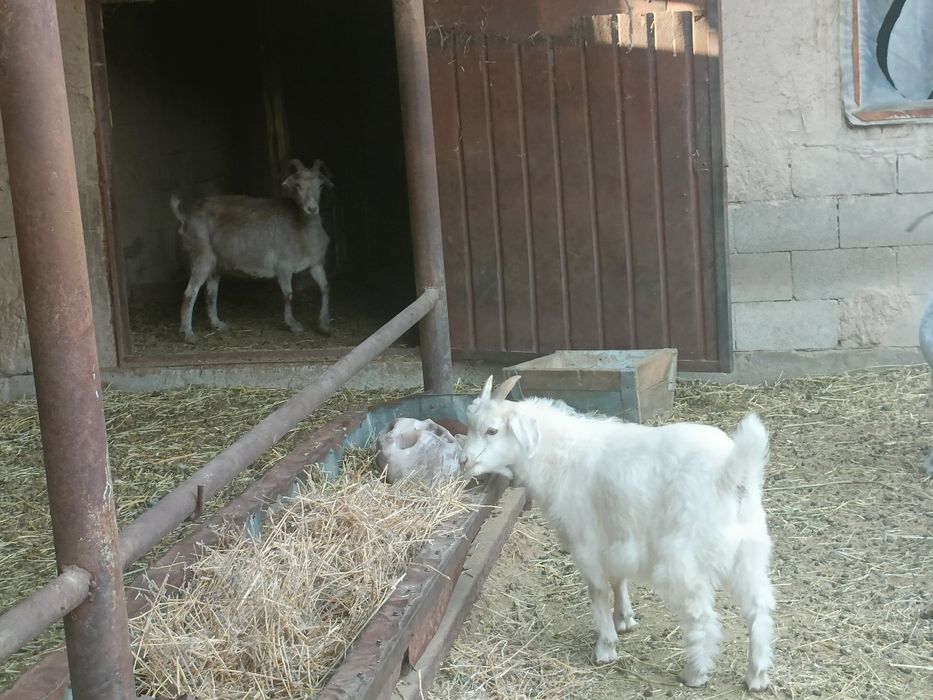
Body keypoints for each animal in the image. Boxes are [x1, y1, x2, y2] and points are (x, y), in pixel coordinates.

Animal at [171, 158, 333, 343]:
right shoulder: (283, 266)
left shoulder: (316, 264)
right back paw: (189, 334)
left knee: (210, 293)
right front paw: (293, 325)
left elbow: (325, 287)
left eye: (320, 185)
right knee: (190, 293)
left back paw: (218, 324)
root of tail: (185, 217)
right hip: (201, 256)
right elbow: (288, 295)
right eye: (298, 185)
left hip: (215, 264)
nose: (312, 208)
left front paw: (325, 325)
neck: (301, 229)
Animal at [460, 375, 776, 691]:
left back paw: (695, 673)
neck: (558, 456)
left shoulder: (585, 543)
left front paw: (606, 646)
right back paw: (757, 675)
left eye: (491, 430)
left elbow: (597, 591)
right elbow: (617, 579)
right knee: (758, 608)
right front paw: (623, 619)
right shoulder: (614, 536)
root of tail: (732, 472)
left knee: (702, 617)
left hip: (684, 560)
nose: (464, 462)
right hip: (749, 550)